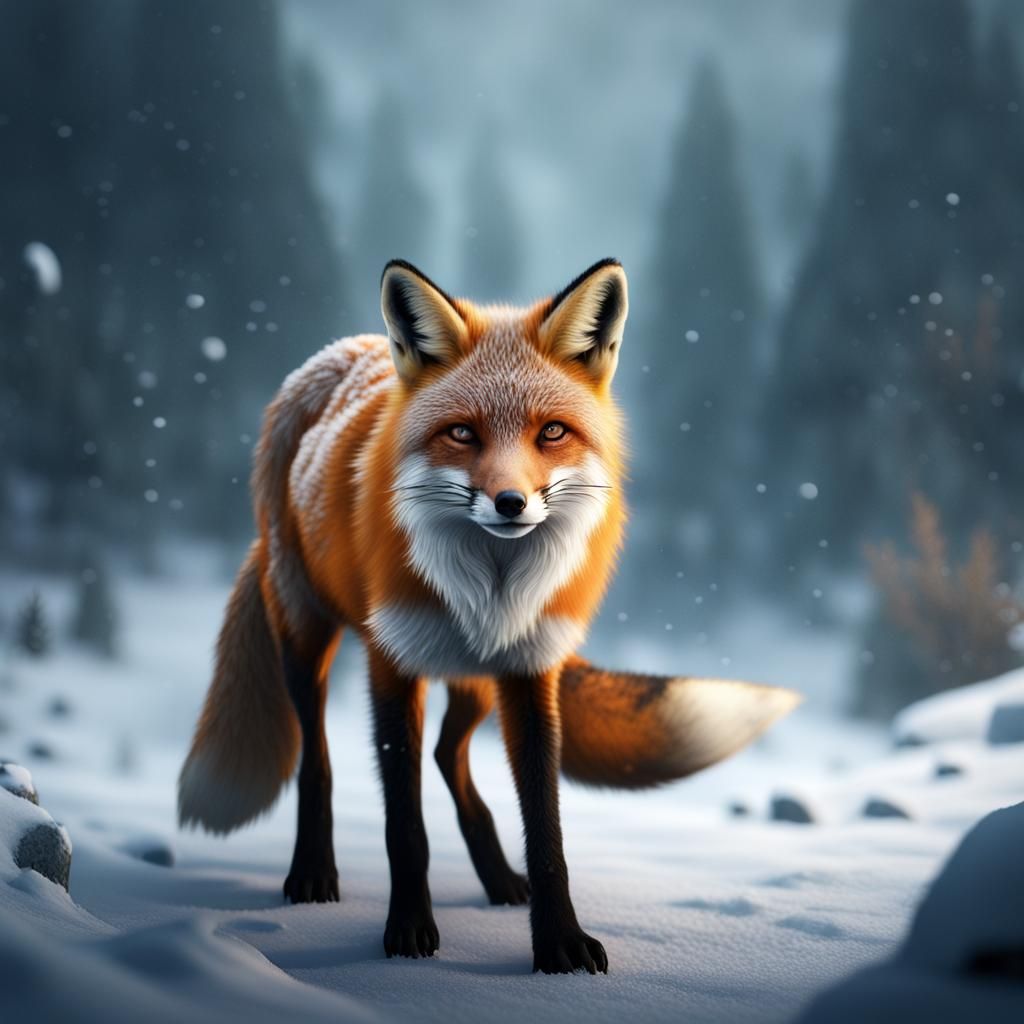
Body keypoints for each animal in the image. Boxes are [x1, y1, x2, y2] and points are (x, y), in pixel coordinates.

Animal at [178, 258, 799, 974]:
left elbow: (546, 828)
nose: (510, 502)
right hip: (308, 635)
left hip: (476, 684)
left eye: (551, 431)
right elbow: (405, 827)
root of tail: (336, 353)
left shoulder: (531, 669)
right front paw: (408, 931)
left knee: (450, 755)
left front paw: (558, 943)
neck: (490, 590)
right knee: (318, 758)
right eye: (462, 432)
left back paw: (499, 878)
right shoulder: (394, 664)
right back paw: (312, 872)